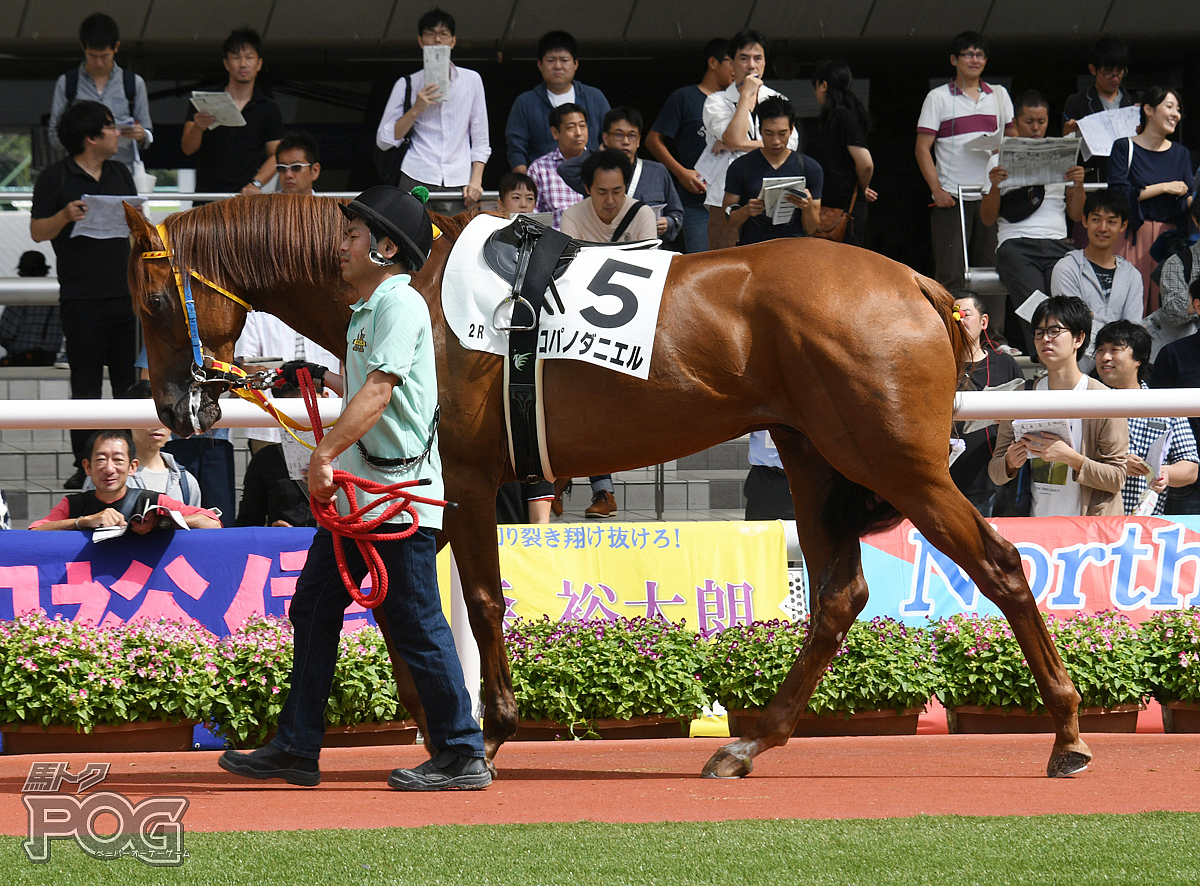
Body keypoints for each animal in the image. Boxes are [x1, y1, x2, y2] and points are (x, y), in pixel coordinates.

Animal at [126, 196, 1094, 777]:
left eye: (148, 301)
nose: (174, 405)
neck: (412, 282)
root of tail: (922, 284)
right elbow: (382, 596)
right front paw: (420, 724)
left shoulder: (469, 476)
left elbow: (475, 601)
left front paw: (483, 731)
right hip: (812, 453)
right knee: (839, 595)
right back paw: (750, 743)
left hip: (896, 460)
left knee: (1001, 568)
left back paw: (1067, 733)